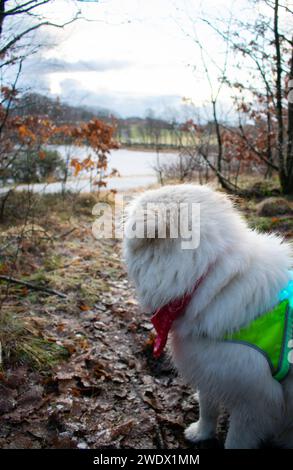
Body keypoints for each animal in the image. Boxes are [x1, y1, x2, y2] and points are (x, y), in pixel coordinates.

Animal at [122, 184, 292, 448]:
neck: (211, 281)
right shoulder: (208, 370)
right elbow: (207, 408)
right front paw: (201, 434)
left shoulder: (254, 401)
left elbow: (235, 441)